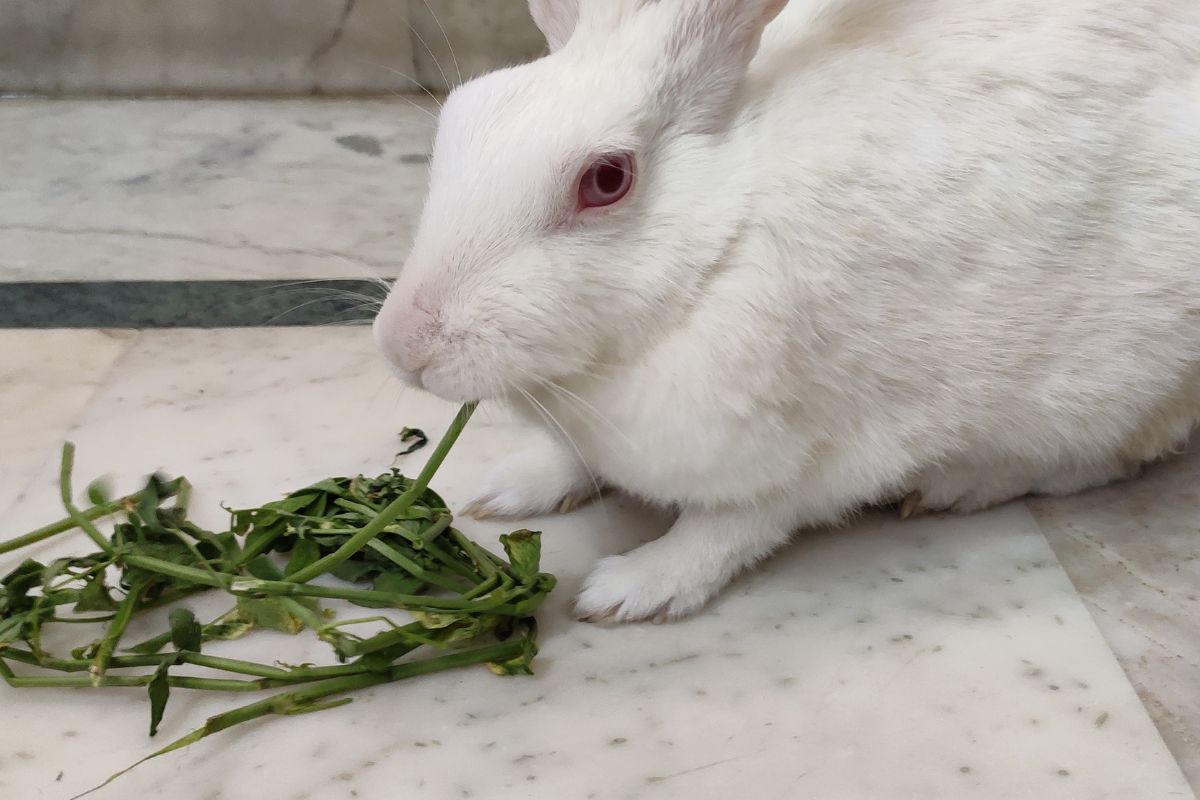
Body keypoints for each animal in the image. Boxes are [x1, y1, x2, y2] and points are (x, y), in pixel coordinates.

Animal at [375, 0, 1200, 623]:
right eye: (457, 120)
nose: (405, 348)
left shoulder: (811, 456)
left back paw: (958, 484)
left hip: (1124, 381)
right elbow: (571, 461)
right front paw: (509, 487)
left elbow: (728, 530)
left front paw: (632, 589)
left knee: (1102, 460)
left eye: (606, 179)